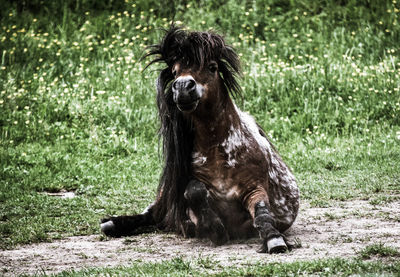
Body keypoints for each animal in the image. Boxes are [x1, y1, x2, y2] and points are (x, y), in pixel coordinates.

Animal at [101, 25, 300, 252]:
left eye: (212, 67)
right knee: (151, 213)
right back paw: (112, 223)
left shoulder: (255, 189)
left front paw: (273, 238)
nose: (182, 87)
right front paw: (214, 228)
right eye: (175, 71)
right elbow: (193, 190)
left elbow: (261, 212)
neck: (219, 153)